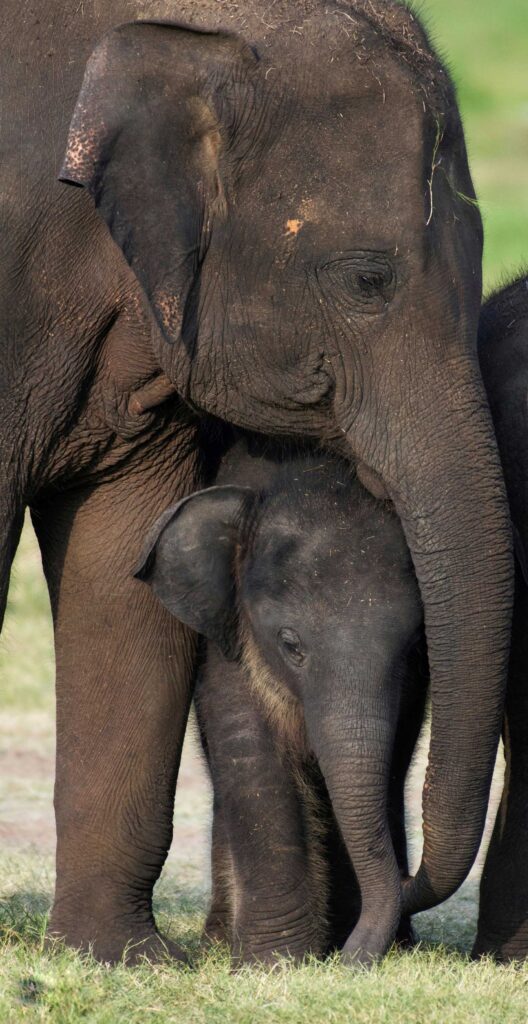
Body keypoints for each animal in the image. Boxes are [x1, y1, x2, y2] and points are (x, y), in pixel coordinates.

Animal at [136, 442, 429, 966]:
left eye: (414, 644)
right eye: (291, 645)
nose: (353, 961)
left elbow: (393, 758)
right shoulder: (229, 640)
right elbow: (249, 746)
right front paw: (275, 963)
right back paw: (222, 941)